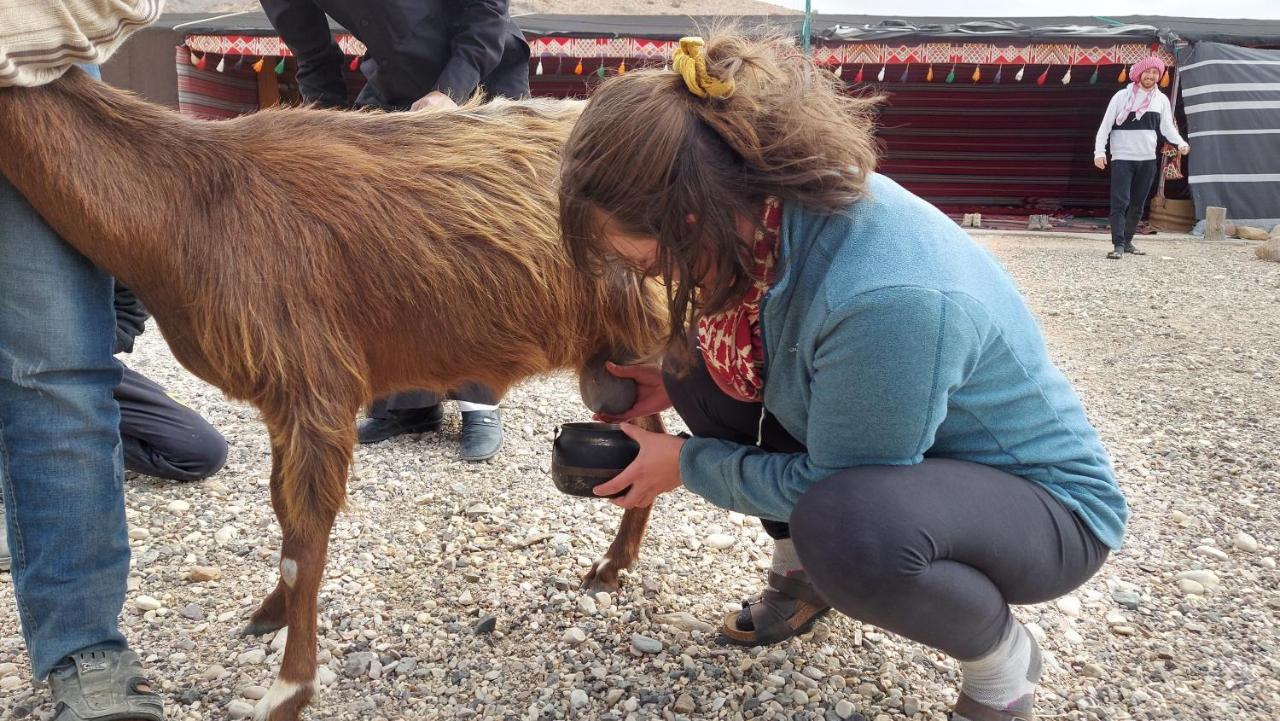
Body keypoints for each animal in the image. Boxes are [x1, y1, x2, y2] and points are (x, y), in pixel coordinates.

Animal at [2, 69, 670, 721]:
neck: (195, 206)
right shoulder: (280, 403)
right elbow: (282, 516)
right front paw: (266, 615)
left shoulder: (314, 382)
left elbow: (302, 544)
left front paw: (287, 691)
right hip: (616, 359)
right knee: (648, 440)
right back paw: (611, 567)